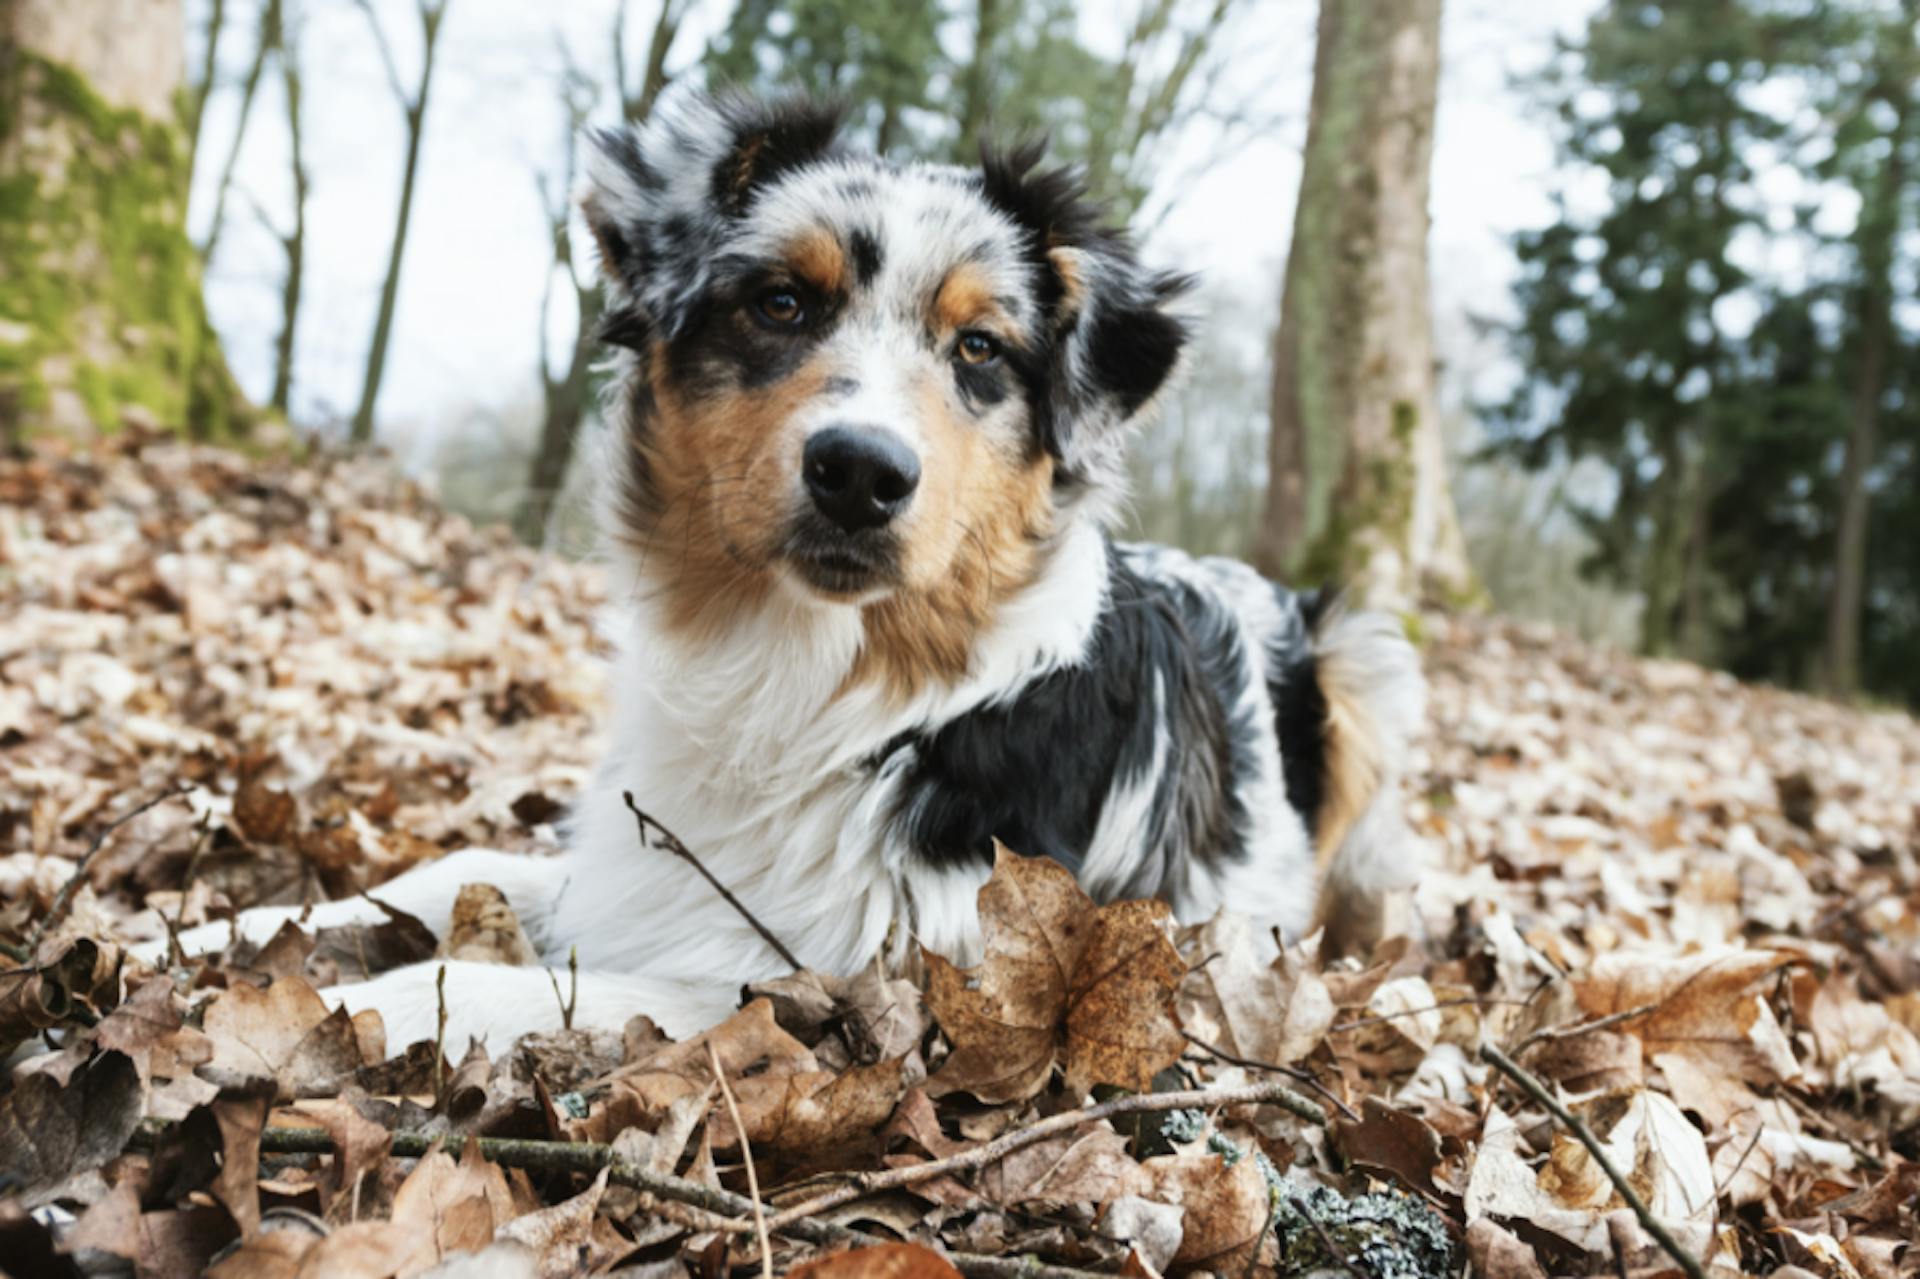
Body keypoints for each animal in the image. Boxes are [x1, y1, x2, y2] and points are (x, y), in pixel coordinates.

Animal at [157, 87, 1436, 1044]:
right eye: (780, 301)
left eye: (981, 349)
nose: (861, 471)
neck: (803, 673)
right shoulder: (636, 851)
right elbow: (448, 868)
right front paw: (192, 933)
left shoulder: (852, 979)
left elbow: (486, 982)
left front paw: (293, 1008)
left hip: (1367, 658)